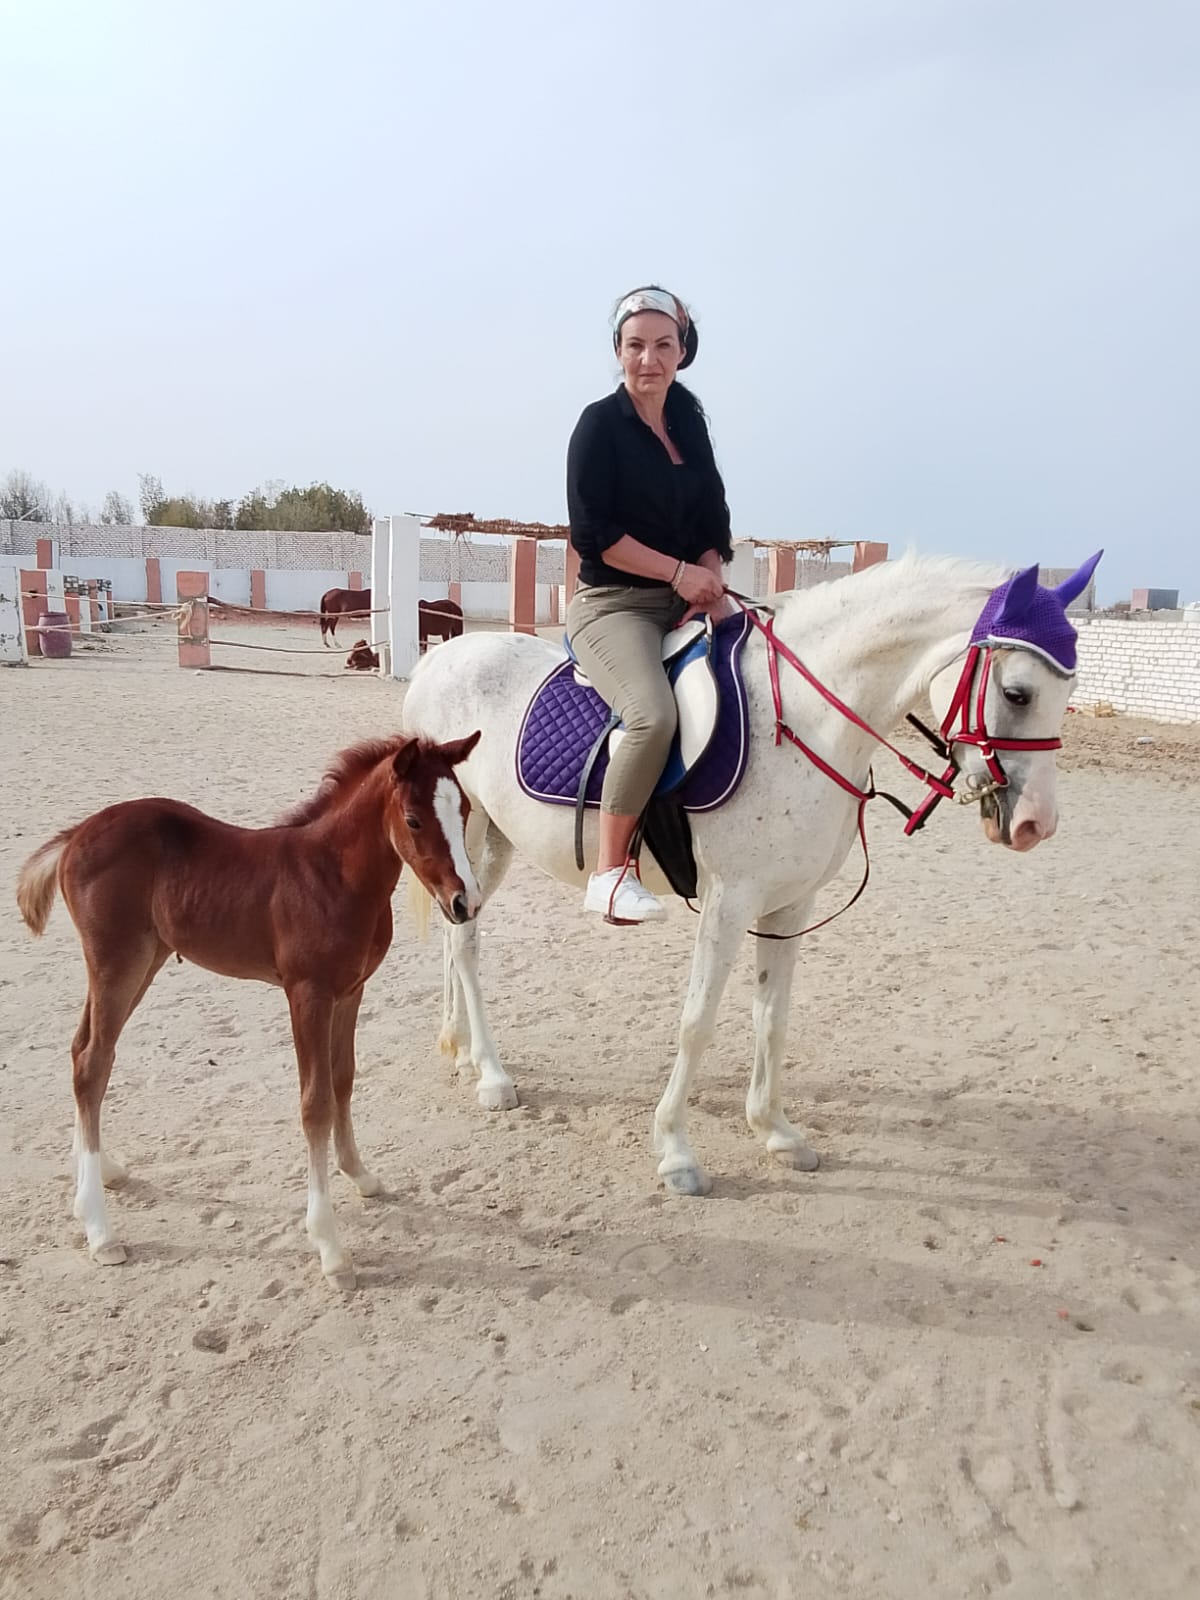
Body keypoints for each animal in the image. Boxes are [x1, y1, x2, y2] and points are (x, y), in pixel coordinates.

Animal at [16, 730, 482, 1289]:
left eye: (466, 809)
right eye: (413, 820)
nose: (465, 902)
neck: (334, 877)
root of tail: (74, 835)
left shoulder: (351, 991)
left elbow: (343, 1078)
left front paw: (360, 1174)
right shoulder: (307, 993)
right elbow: (315, 1102)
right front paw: (330, 1247)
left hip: (141, 962)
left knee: (83, 1051)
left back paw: (102, 1172)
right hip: (117, 962)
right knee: (92, 1062)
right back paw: (100, 1231)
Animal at [399, 550, 1100, 1197]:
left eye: (1067, 694)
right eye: (1017, 693)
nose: (1036, 824)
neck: (804, 722)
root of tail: (443, 656)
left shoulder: (789, 906)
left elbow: (773, 1016)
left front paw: (776, 1132)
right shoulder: (730, 902)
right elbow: (697, 1023)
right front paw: (676, 1152)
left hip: (488, 844)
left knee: (457, 930)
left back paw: (459, 1049)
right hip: (468, 832)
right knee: (466, 944)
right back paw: (493, 1075)